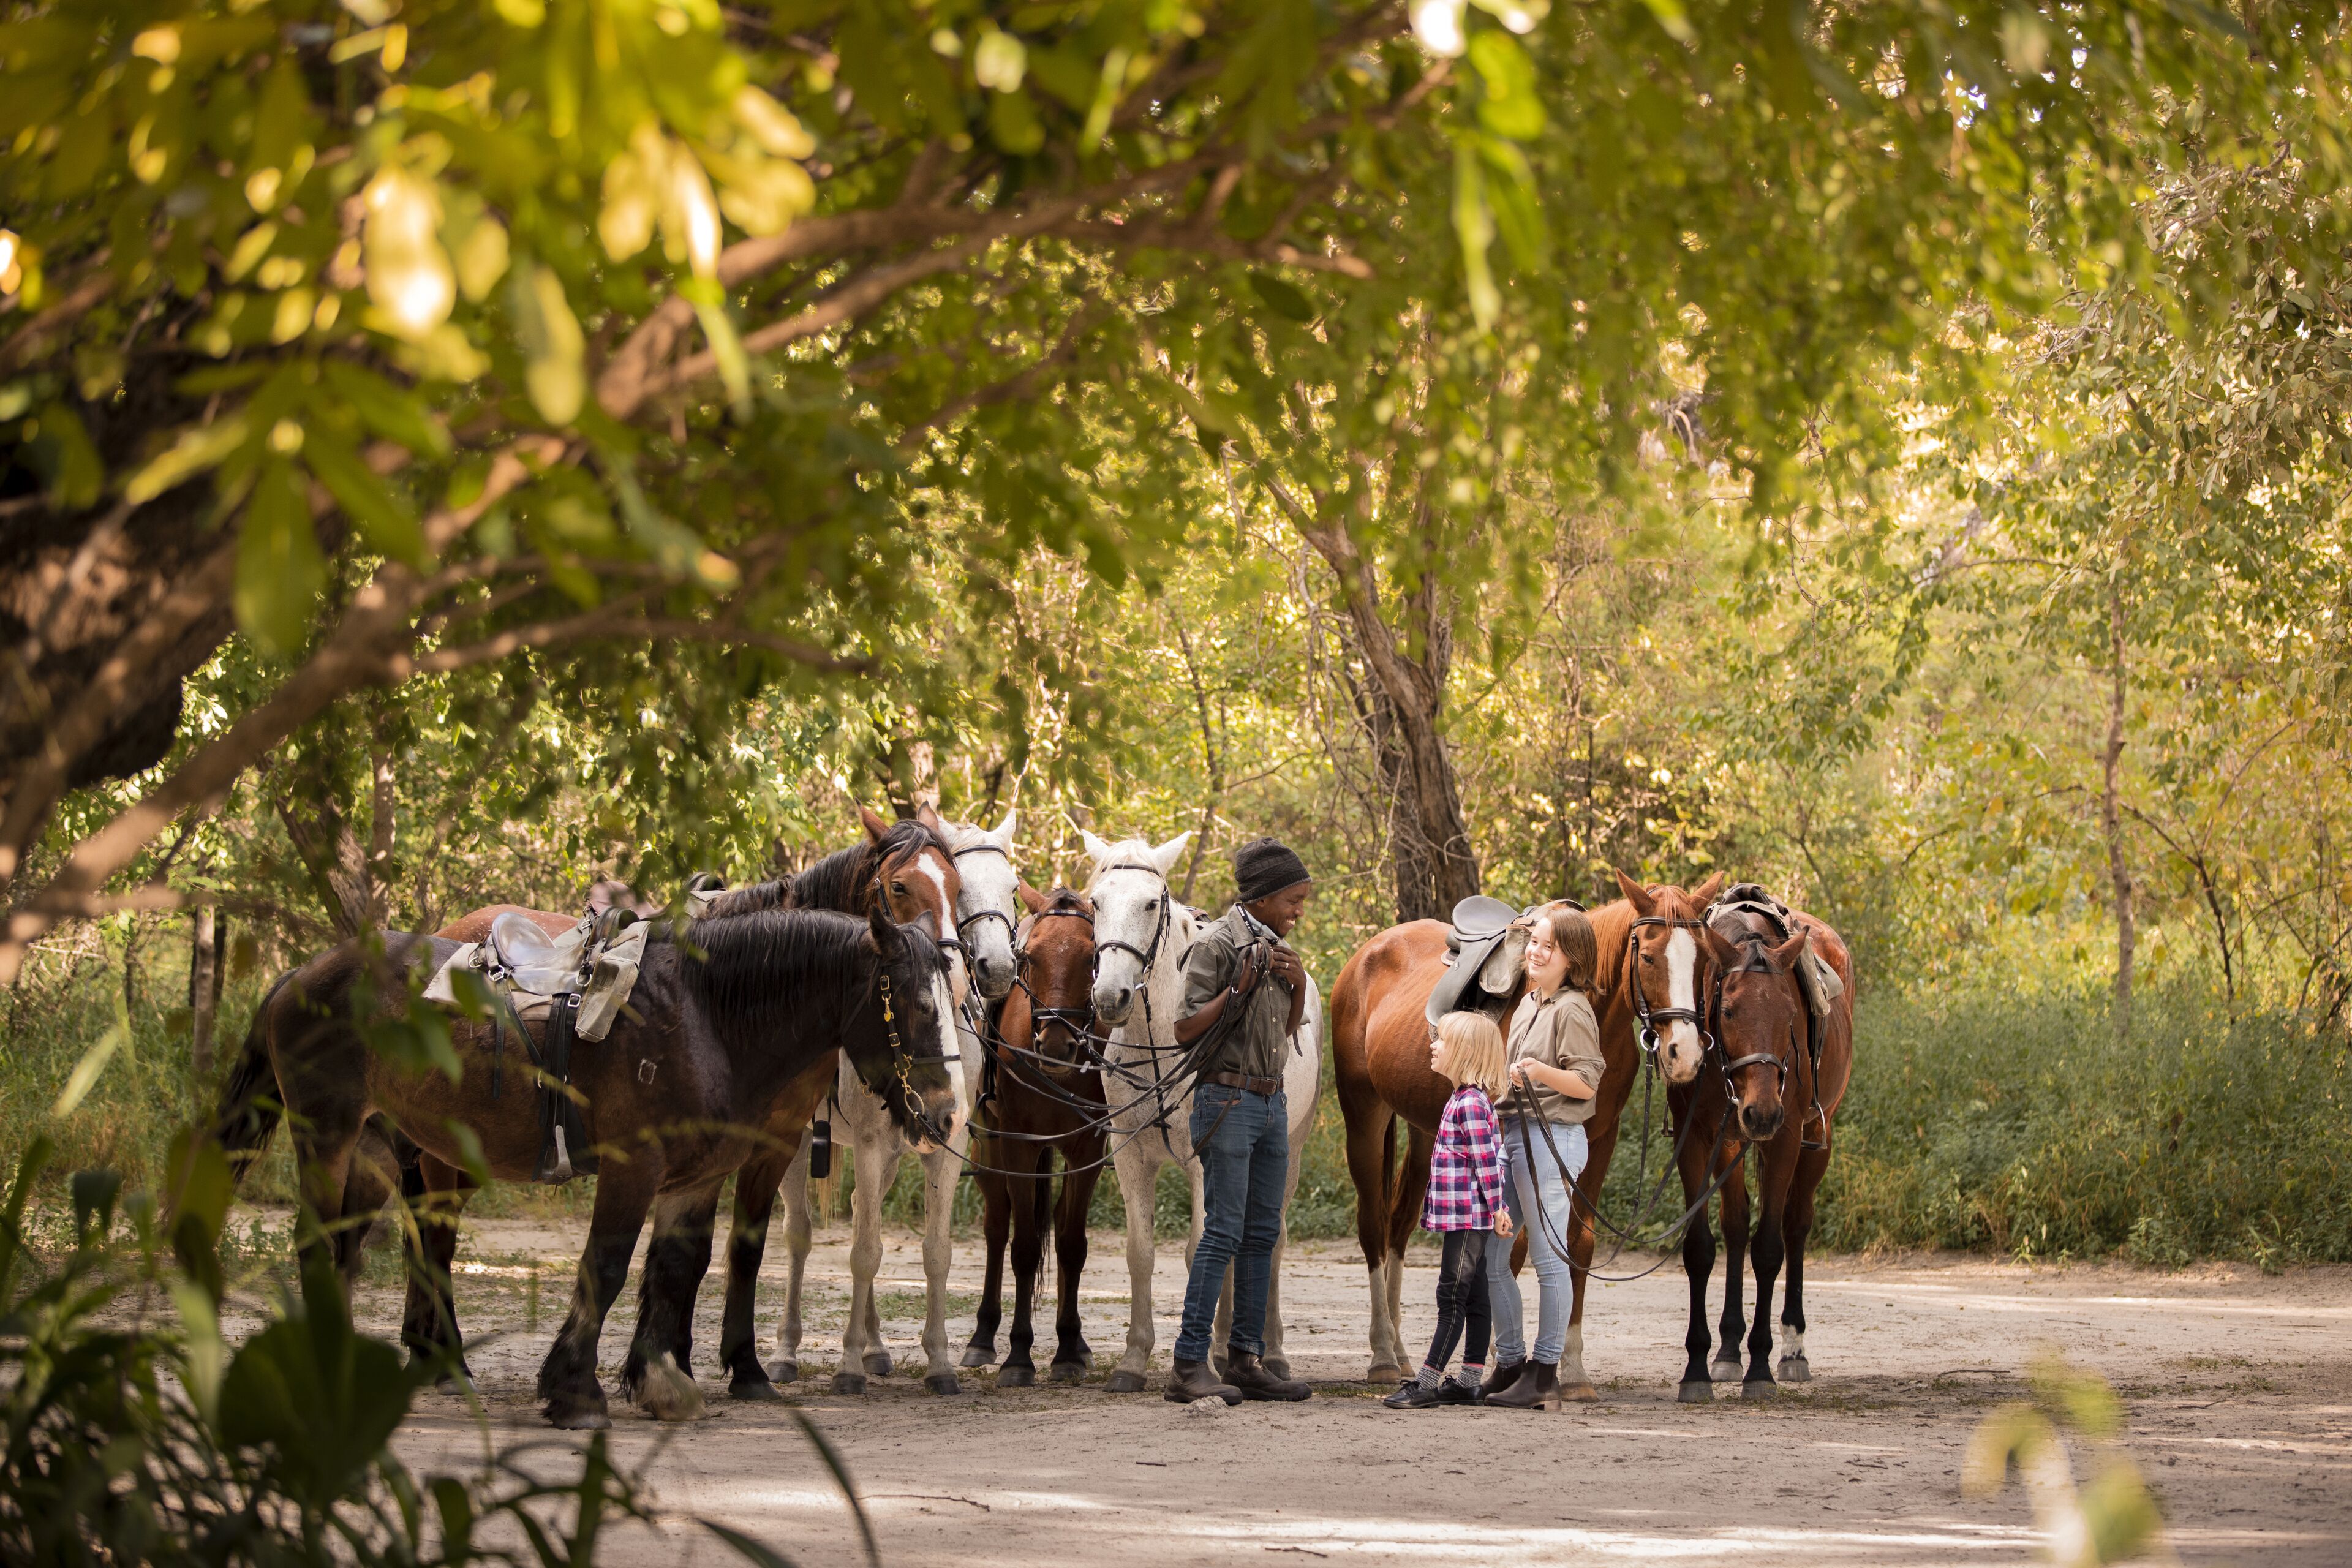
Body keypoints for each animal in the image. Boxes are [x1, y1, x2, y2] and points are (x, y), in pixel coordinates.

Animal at [212, 903, 964, 1428]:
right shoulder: (634, 1167)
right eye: (915, 1003)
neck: (708, 1016)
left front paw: (659, 1381)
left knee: (359, 1249)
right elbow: (605, 1267)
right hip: (329, 1135)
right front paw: (575, 1392)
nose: (947, 1113)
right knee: (324, 1246)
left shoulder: (695, 1178)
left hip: (377, 1149)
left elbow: (678, 1269)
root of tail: (302, 976)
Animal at [960, 887, 1110, 1385]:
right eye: (1029, 957)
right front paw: (1019, 1355)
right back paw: (983, 1336)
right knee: (997, 1226)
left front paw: (1067, 1349)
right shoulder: (1019, 1146)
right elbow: (1023, 1248)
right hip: (988, 1146)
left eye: (1092, 958)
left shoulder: (1088, 1148)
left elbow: (1071, 1244)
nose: (1058, 1045)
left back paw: (1076, 1344)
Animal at [1331, 870, 1724, 1397]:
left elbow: (1578, 1243)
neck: (1586, 1012)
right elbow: (1513, 1246)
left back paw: (1399, 1350)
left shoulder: (1598, 1139)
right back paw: (1381, 1356)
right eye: (1648, 957)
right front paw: (1503, 1358)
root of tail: (1366, 954)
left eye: (1704, 959)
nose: (1685, 1054)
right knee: (1373, 1226)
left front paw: (1572, 1370)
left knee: (1399, 1223)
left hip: (1424, 1129)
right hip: (1365, 1115)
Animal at [1668, 896, 1855, 1401]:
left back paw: (1792, 1349)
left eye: (1790, 1013)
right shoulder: (1698, 1138)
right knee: (1735, 1225)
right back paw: (1729, 1348)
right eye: (1729, 1011)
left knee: (1795, 1225)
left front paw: (1761, 1367)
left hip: (1814, 1138)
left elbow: (1769, 1248)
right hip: (1734, 1139)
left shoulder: (1787, 1136)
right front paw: (1697, 1367)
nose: (1763, 1112)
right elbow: (1701, 1247)